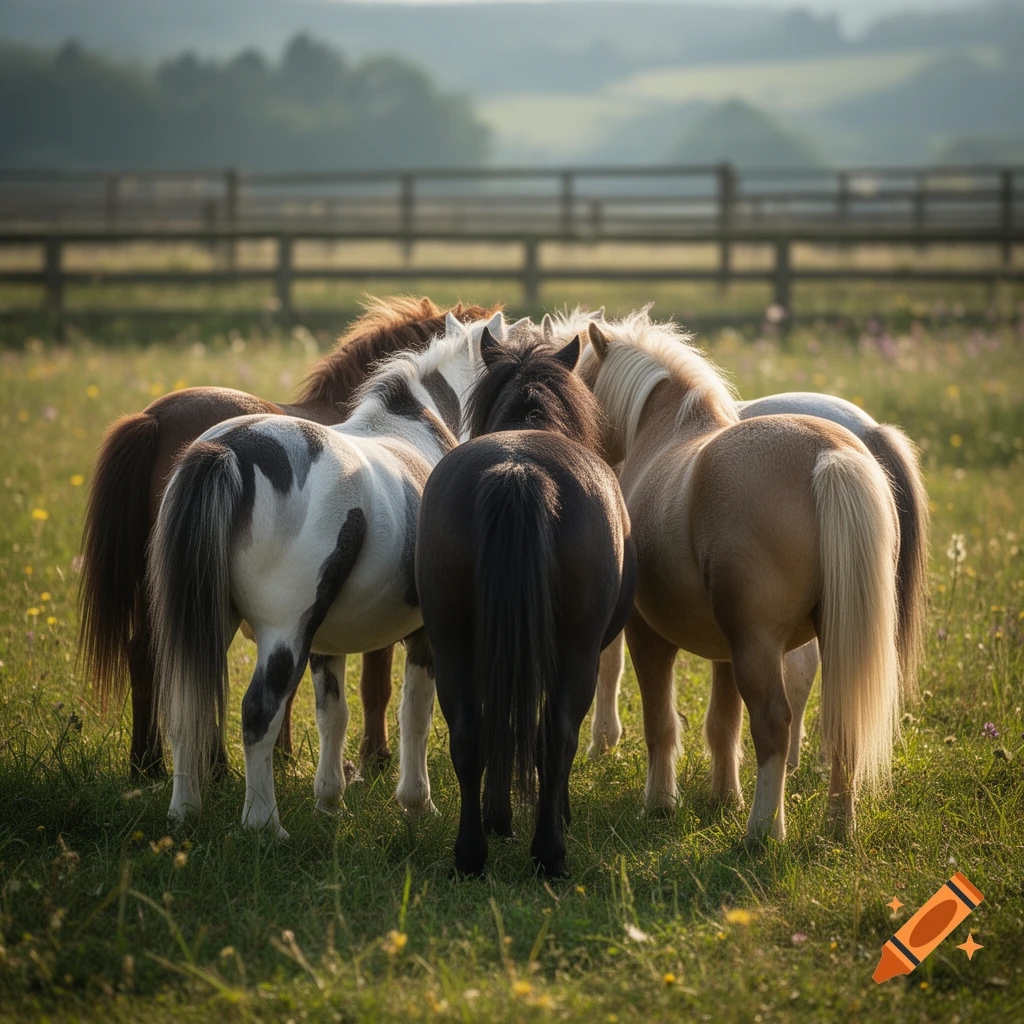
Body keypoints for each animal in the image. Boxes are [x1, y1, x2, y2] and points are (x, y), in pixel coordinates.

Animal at [78, 295, 498, 777]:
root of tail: (152, 418)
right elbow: (374, 682)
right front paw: (372, 758)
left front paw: (286, 756)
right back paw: (189, 766)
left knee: (157, 658)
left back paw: (157, 765)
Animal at [406, 325, 636, 877]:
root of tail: (518, 470)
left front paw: (500, 818)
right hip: (575, 651)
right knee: (556, 737)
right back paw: (550, 851)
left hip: (453, 644)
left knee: (469, 737)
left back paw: (470, 854)